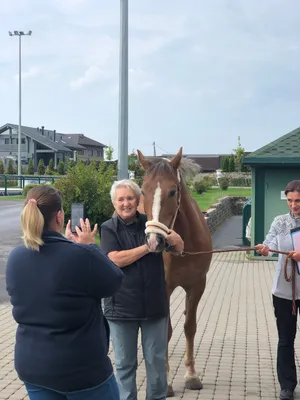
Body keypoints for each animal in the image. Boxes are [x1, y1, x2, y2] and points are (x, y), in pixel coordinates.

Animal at [137, 148, 212, 396]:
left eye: (172, 191)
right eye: (143, 190)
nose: (154, 241)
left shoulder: (197, 286)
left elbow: (190, 327)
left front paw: (191, 375)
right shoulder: (165, 288)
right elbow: (165, 331)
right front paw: (166, 381)